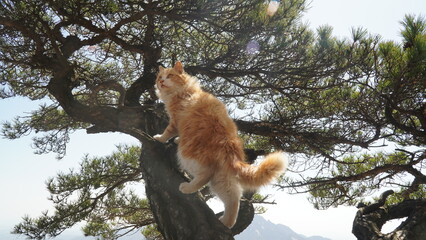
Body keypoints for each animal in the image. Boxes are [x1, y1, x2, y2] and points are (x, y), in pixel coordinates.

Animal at [152, 61, 286, 228]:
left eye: (170, 75)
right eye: (159, 77)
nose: (161, 82)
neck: (185, 91)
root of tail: (230, 147)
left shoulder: (175, 121)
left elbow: (167, 132)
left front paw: (160, 138)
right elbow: (176, 135)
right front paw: (175, 139)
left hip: (188, 156)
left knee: (205, 176)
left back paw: (187, 188)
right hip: (222, 179)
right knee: (233, 198)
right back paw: (226, 223)